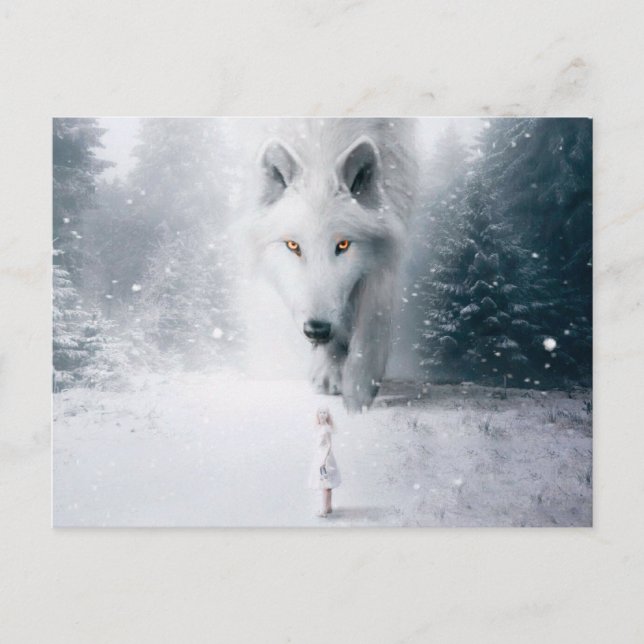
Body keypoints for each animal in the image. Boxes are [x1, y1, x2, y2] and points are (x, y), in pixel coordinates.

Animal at [250, 118, 417, 412]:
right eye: (293, 246)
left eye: (343, 245)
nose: (316, 330)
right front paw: (330, 369)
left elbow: (374, 315)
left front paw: (360, 389)